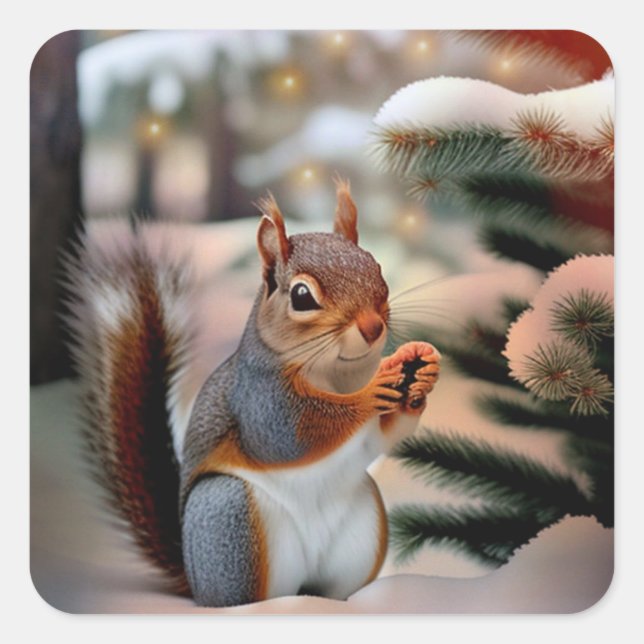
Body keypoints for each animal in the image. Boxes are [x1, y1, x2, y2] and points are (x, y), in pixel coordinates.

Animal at [67, 179, 441, 608]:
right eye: (301, 296)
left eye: (376, 268)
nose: (373, 327)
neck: (334, 373)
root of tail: (194, 579)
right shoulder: (257, 399)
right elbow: (290, 435)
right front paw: (373, 389)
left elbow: (380, 437)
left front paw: (419, 373)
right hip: (230, 520)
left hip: (363, 530)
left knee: (331, 588)